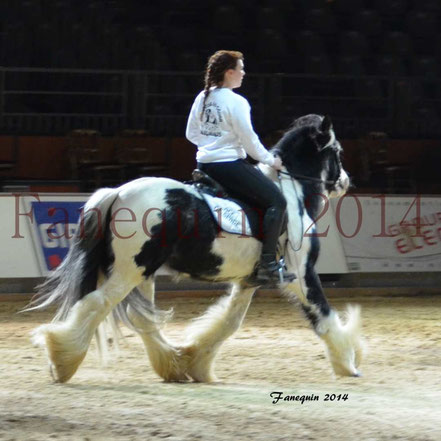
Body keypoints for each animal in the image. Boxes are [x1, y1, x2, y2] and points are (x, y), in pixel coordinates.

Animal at [30, 113, 360, 382]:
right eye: (338, 151)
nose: (345, 181)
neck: (293, 194)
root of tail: (118, 192)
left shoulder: (249, 281)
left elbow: (229, 322)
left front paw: (197, 362)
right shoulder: (302, 275)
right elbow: (324, 315)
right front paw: (348, 363)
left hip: (142, 272)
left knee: (141, 316)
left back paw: (173, 365)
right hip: (130, 270)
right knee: (96, 303)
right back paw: (62, 360)